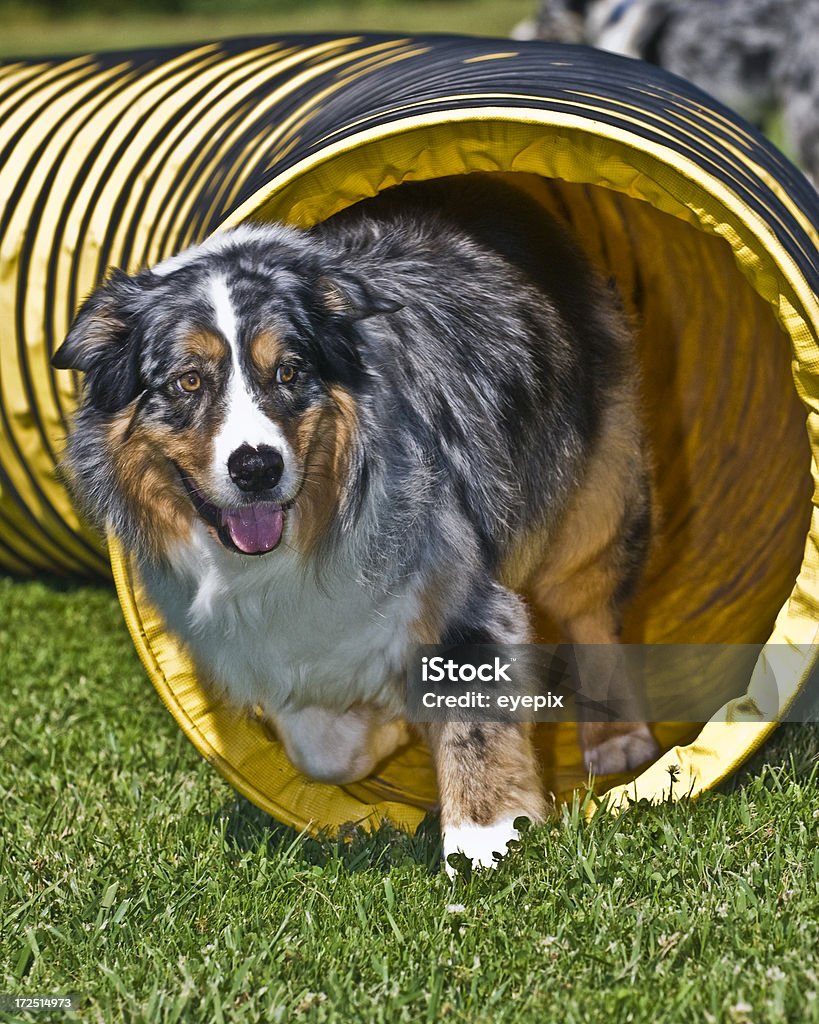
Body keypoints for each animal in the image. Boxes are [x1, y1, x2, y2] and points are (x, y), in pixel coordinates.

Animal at [52, 174, 659, 872]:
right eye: (187, 382)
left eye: (289, 371)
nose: (257, 467)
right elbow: (319, 748)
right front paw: (386, 731)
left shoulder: (461, 592)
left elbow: (474, 731)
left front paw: (481, 846)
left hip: (595, 500)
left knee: (590, 612)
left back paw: (617, 740)